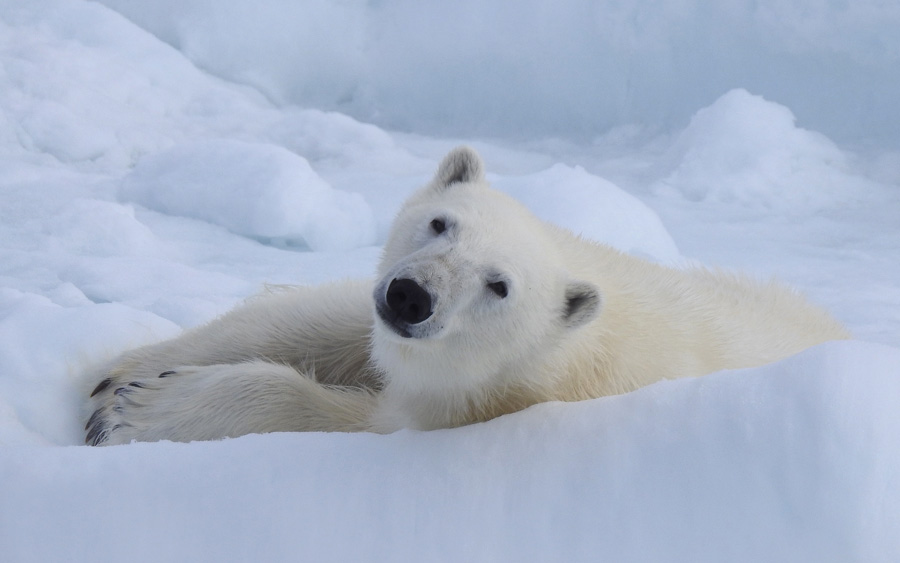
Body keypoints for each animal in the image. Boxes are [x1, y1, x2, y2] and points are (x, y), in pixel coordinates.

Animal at [84, 145, 852, 446]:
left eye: (498, 286)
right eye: (440, 222)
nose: (411, 296)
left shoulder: (482, 400)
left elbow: (351, 419)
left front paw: (144, 410)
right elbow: (321, 319)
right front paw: (118, 375)